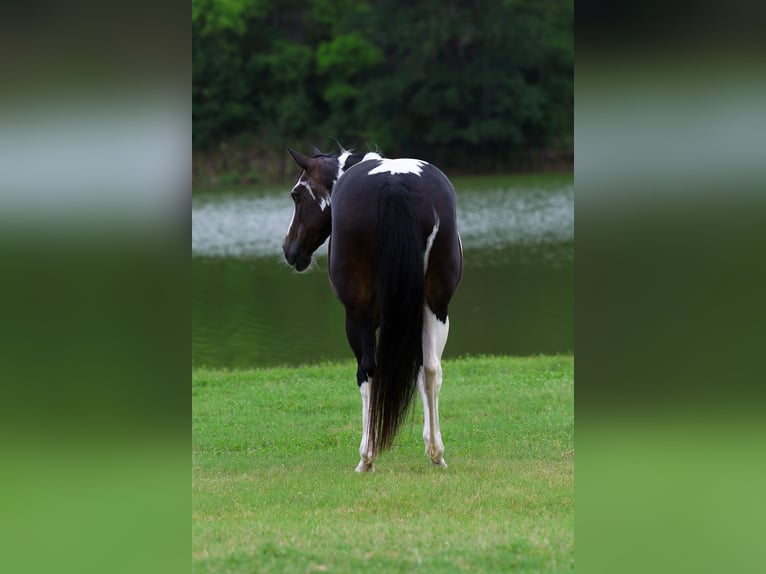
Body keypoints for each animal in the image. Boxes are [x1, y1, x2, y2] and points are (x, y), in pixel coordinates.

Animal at [282, 145, 463, 472]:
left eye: (297, 194)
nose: (290, 250)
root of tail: (395, 184)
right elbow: (423, 371)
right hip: (436, 307)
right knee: (432, 369)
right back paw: (436, 453)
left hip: (358, 316)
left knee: (368, 372)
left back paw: (366, 457)